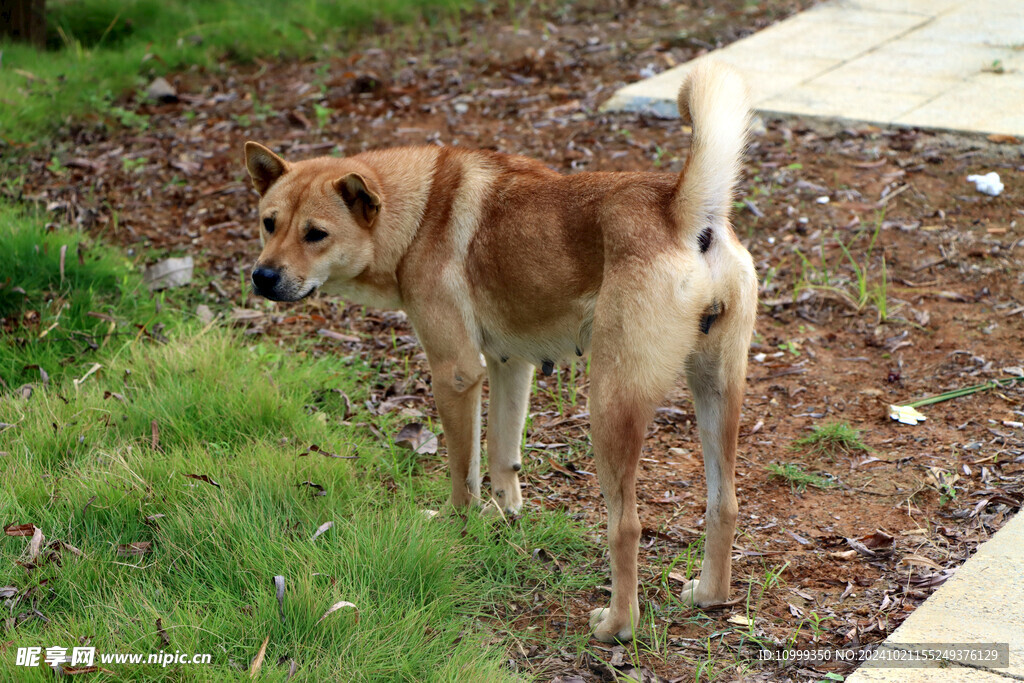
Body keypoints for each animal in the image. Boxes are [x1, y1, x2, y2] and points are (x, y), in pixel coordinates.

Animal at [243, 61, 757, 643]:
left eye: (316, 234)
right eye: (269, 222)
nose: (262, 277)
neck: (421, 212)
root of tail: (682, 210)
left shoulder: (456, 374)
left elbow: (462, 472)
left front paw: (460, 526)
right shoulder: (511, 364)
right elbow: (501, 455)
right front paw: (506, 514)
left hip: (609, 405)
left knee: (626, 525)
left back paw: (616, 625)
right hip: (717, 394)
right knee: (725, 504)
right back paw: (709, 595)